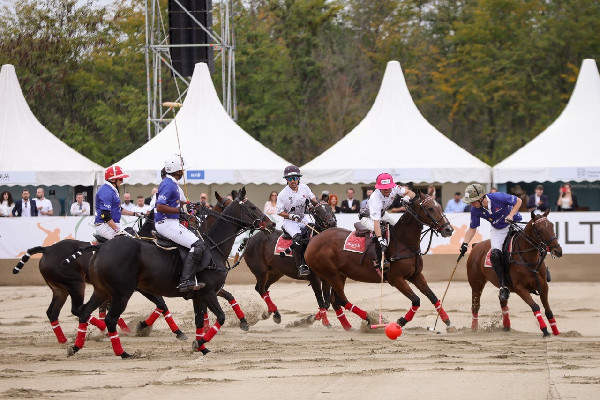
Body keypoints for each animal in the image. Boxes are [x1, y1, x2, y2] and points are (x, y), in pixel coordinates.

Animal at [66, 188, 272, 360]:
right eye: (252, 207)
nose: (271, 224)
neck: (213, 247)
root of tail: (101, 248)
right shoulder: (208, 292)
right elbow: (220, 316)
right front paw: (199, 341)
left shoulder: (199, 294)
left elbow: (199, 318)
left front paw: (202, 346)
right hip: (122, 292)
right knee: (109, 318)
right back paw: (122, 351)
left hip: (102, 290)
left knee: (85, 311)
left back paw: (76, 347)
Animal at [304, 193, 454, 332]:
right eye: (430, 208)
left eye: (439, 207)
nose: (449, 229)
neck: (403, 242)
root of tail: (312, 241)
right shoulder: (396, 279)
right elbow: (416, 300)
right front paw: (400, 322)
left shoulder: (416, 275)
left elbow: (433, 297)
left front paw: (448, 323)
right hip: (331, 274)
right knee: (341, 299)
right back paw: (369, 318)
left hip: (340, 275)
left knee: (335, 301)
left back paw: (348, 326)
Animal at [468, 209, 564, 338]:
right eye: (540, 230)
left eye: (552, 225)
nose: (558, 251)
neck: (529, 259)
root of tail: (476, 245)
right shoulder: (520, 288)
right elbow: (535, 306)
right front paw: (545, 330)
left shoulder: (544, 286)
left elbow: (548, 311)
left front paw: (556, 331)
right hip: (476, 283)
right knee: (475, 305)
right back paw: (474, 329)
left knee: (503, 301)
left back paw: (506, 327)